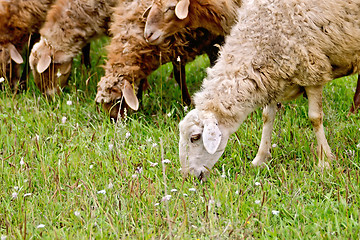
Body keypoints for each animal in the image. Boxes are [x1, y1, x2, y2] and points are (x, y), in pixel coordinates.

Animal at [94, 0, 224, 120]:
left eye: (118, 99)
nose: (114, 121)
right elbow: (142, 81)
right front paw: (140, 105)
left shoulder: (178, 48)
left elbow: (179, 77)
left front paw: (187, 103)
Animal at [178, 0, 360, 180]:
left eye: (194, 137)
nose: (188, 177)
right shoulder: (272, 77)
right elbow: (267, 117)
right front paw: (260, 159)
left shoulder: (313, 71)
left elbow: (315, 118)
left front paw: (325, 162)